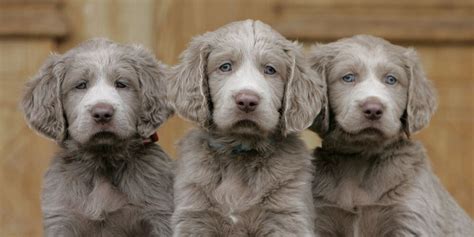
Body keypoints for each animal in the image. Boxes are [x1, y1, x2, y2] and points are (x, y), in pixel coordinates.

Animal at [21, 38, 174, 236]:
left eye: (121, 84)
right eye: (81, 85)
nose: (102, 113)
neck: (102, 161)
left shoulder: (159, 214)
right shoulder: (61, 217)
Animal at [168, 19, 326, 236]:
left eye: (270, 70)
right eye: (225, 66)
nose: (247, 100)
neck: (240, 151)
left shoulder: (287, 215)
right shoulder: (193, 215)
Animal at [306, 34, 472, 236]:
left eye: (391, 80)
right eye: (348, 77)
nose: (373, 109)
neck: (360, 159)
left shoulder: (410, 214)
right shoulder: (321, 216)